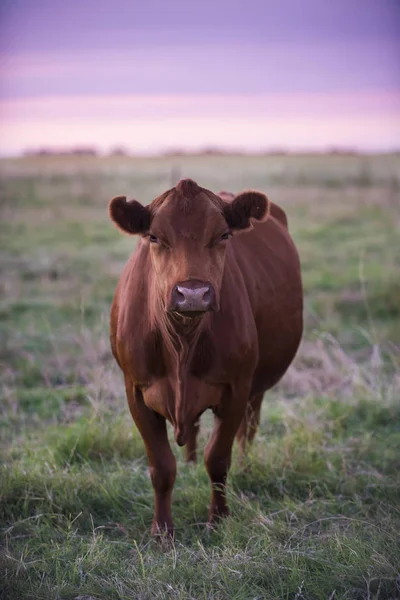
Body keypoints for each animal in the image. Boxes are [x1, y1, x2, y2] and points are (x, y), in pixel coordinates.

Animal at [108, 179, 302, 540]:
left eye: (223, 235)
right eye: (154, 236)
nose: (193, 294)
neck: (182, 343)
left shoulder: (236, 387)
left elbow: (219, 459)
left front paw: (218, 518)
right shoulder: (135, 391)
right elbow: (161, 466)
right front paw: (162, 531)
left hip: (256, 387)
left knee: (248, 429)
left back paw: (246, 468)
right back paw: (189, 463)